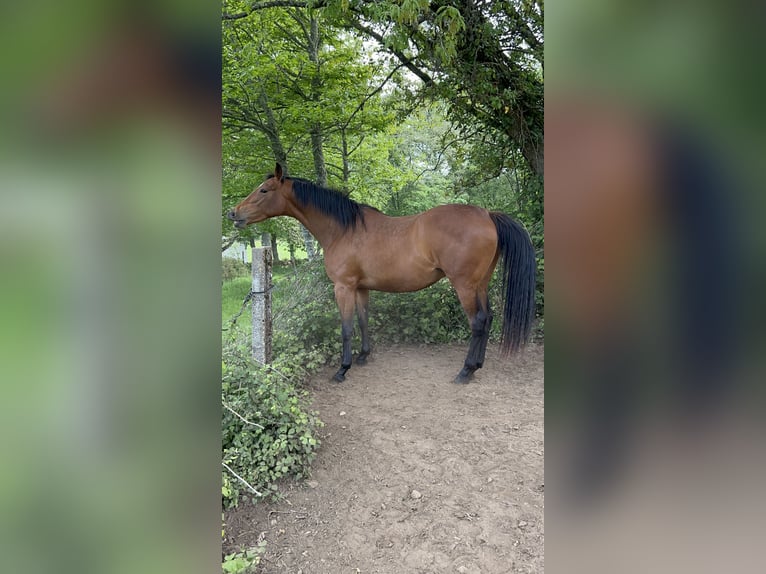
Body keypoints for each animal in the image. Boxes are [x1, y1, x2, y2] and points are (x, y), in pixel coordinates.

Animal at [230, 164, 536, 384]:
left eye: (264, 190)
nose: (234, 213)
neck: (343, 229)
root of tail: (487, 215)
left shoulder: (343, 287)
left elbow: (346, 328)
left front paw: (342, 369)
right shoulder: (361, 287)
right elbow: (364, 320)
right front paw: (364, 356)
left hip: (464, 286)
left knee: (478, 322)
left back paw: (465, 371)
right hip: (480, 284)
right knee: (488, 318)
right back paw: (478, 365)